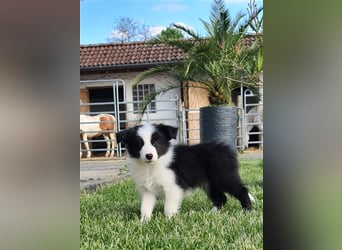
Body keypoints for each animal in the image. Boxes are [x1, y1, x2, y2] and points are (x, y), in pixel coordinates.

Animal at [117, 123, 254, 221]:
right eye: (139, 144)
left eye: (156, 142)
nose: (149, 156)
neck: (152, 166)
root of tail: (226, 150)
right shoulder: (147, 191)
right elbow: (145, 207)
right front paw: (144, 222)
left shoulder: (172, 187)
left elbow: (168, 207)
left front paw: (169, 220)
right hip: (210, 184)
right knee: (221, 198)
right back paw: (212, 213)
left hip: (224, 177)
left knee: (242, 190)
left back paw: (247, 211)